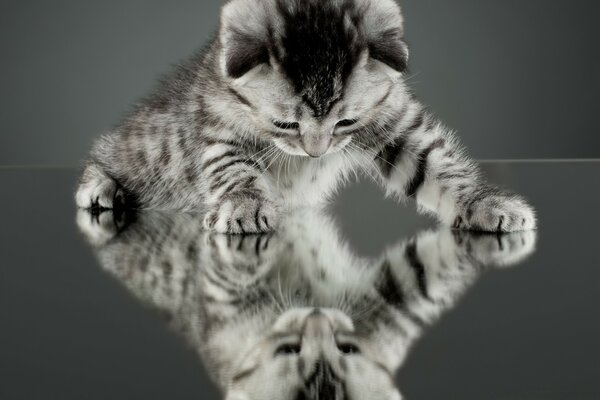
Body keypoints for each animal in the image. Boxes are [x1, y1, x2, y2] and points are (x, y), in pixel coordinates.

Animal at [76, 0, 540, 234]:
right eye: (286, 125)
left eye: (345, 123)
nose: (315, 154)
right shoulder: (217, 125)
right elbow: (232, 167)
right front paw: (244, 204)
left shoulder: (395, 121)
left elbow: (438, 165)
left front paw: (484, 202)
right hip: (145, 149)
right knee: (108, 152)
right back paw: (100, 184)